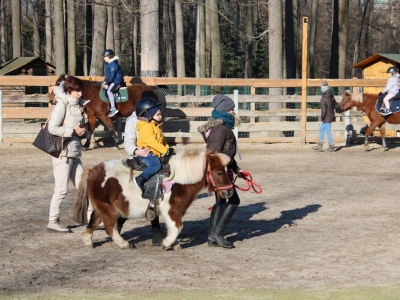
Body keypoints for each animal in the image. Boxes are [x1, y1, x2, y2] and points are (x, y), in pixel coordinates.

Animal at [73, 149, 233, 250]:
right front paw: (167, 243)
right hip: (108, 208)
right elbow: (177, 226)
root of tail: (91, 171)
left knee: (94, 221)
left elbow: (173, 227)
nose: (230, 191)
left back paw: (87, 241)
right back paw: (124, 244)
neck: (180, 180)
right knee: (110, 226)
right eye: (219, 172)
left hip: (101, 207)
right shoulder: (170, 209)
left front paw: (172, 243)